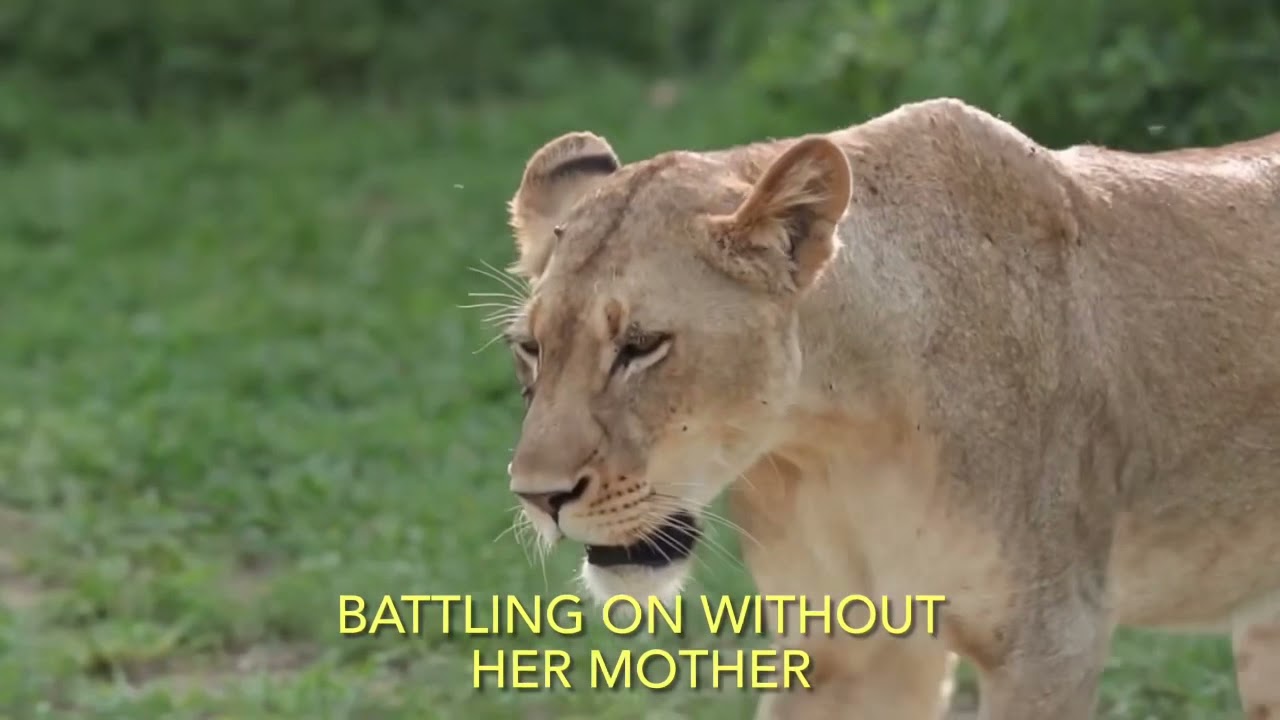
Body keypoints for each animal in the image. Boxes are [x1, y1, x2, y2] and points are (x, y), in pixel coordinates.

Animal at [493, 97, 1280, 719]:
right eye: (531, 348)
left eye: (640, 346)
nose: (538, 497)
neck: (834, 439)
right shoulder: (845, 651)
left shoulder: (1052, 641)